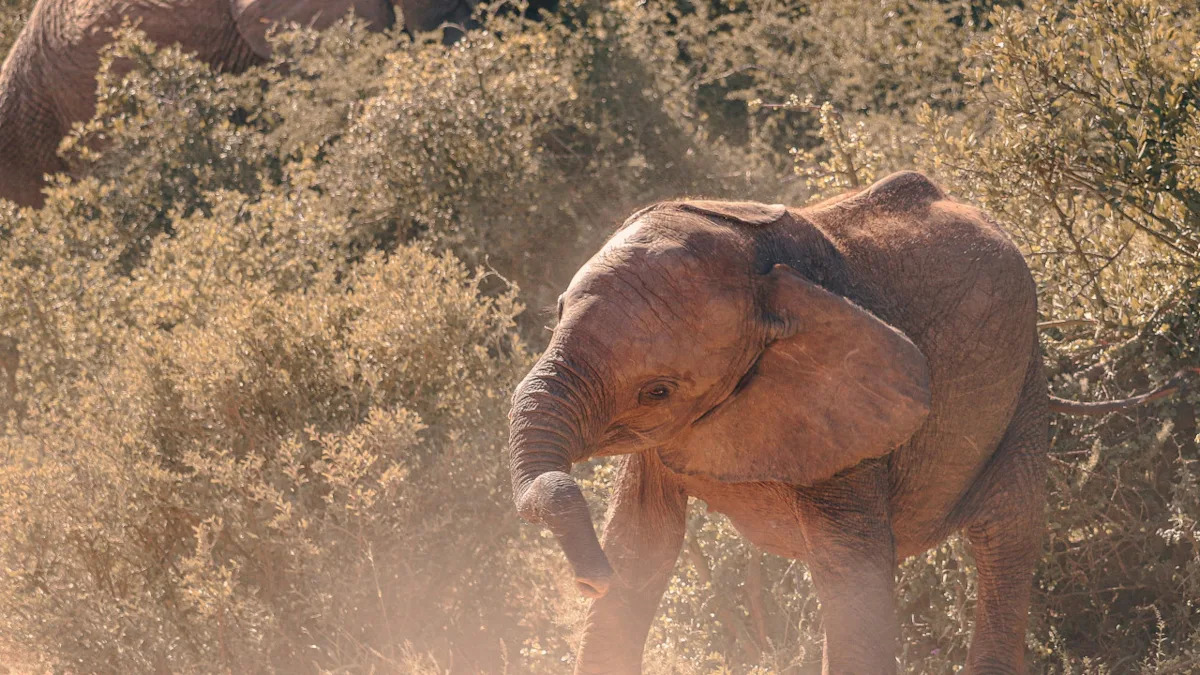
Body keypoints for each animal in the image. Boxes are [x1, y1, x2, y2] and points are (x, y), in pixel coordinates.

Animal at [507, 170, 1194, 674]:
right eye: (557, 312)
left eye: (658, 389)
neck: (764, 275)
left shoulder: (847, 413)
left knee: (1006, 539)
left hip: (1025, 379)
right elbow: (642, 546)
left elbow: (851, 573)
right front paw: (616, 579)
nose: (588, 579)